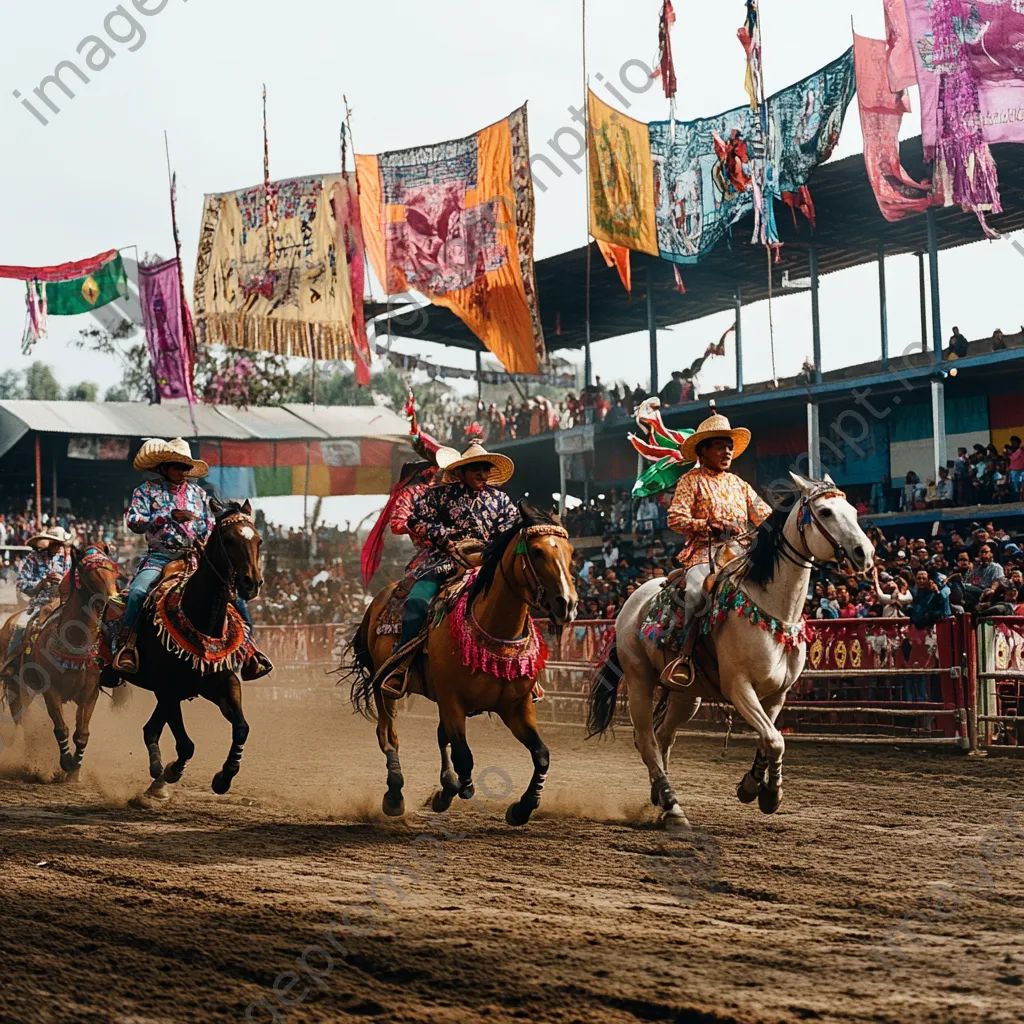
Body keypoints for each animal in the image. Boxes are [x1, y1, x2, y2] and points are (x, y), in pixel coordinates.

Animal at [1, 548, 119, 770]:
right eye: (87, 570)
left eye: (112, 568)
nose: (114, 598)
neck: (76, 641)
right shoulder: (51, 692)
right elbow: (61, 728)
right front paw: (65, 762)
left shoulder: (89, 694)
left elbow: (81, 734)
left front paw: (75, 769)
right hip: (15, 684)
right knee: (20, 717)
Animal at [99, 497, 264, 798]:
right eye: (228, 539)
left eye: (258, 540)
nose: (251, 582)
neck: (201, 622)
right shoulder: (169, 690)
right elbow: (184, 743)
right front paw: (170, 771)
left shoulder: (223, 683)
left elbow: (241, 728)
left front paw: (224, 777)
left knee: (151, 729)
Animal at [350, 499, 577, 827]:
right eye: (537, 551)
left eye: (570, 552)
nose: (567, 604)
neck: (493, 627)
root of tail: (377, 599)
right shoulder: (453, 700)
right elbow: (464, 758)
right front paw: (455, 790)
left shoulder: (517, 706)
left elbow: (541, 754)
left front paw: (523, 807)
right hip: (384, 687)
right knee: (388, 735)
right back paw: (394, 795)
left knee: (438, 735)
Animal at [589, 471, 876, 823]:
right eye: (825, 512)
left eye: (853, 510)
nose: (864, 553)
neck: (773, 610)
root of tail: (631, 603)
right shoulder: (740, 688)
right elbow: (774, 739)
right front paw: (763, 792)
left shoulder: (777, 694)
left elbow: (769, 740)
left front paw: (759, 788)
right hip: (640, 682)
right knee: (646, 739)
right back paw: (672, 806)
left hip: (687, 696)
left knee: (663, 736)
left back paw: (661, 797)